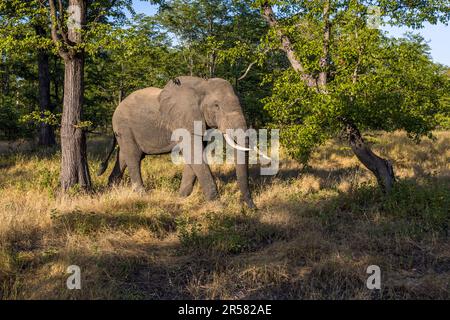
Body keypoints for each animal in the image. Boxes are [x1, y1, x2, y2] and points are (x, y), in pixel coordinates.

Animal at [96, 76, 255, 209]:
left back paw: (111, 191)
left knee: (124, 157)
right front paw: (219, 207)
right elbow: (194, 153)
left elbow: (195, 156)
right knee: (133, 157)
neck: (203, 84)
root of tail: (117, 107)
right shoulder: (183, 119)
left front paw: (181, 198)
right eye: (216, 106)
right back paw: (142, 195)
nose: (252, 207)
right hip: (124, 127)